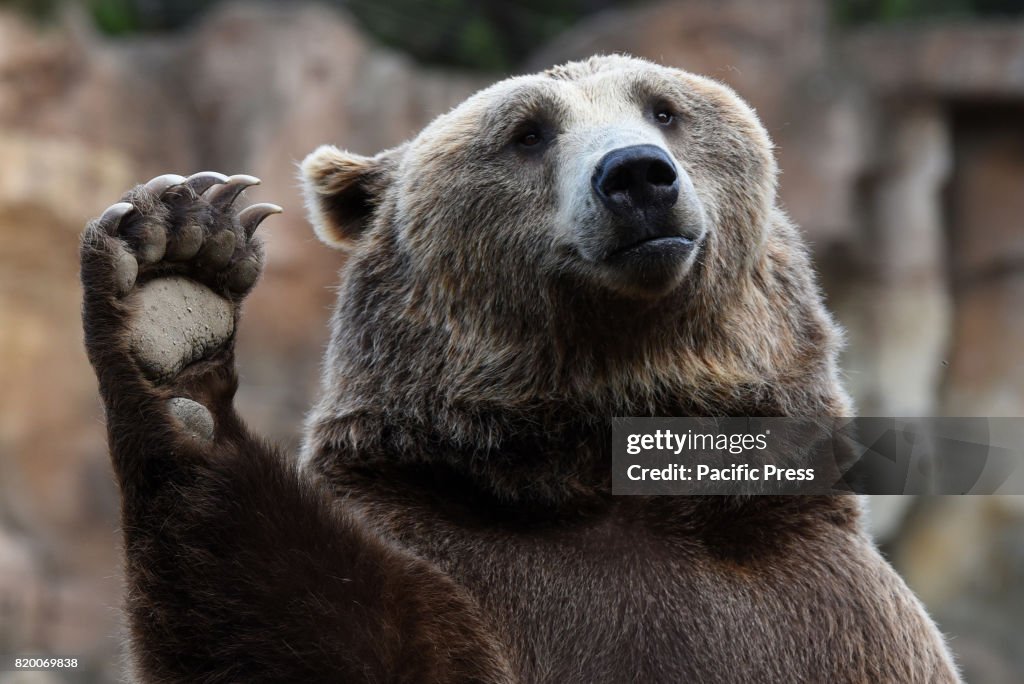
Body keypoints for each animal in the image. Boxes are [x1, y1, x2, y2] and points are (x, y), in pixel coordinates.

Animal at [79, 56, 958, 679]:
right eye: (528, 132)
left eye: (664, 108)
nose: (638, 174)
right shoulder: (449, 553)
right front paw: (174, 277)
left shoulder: (821, 603)